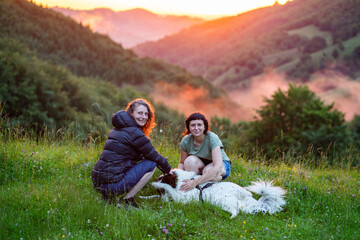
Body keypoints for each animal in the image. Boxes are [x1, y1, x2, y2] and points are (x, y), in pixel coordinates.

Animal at [148, 170, 286, 218]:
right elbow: (156, 197)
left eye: (163, 178)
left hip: (219, 199)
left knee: (235, 212)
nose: (154, 180)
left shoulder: (182, 199)